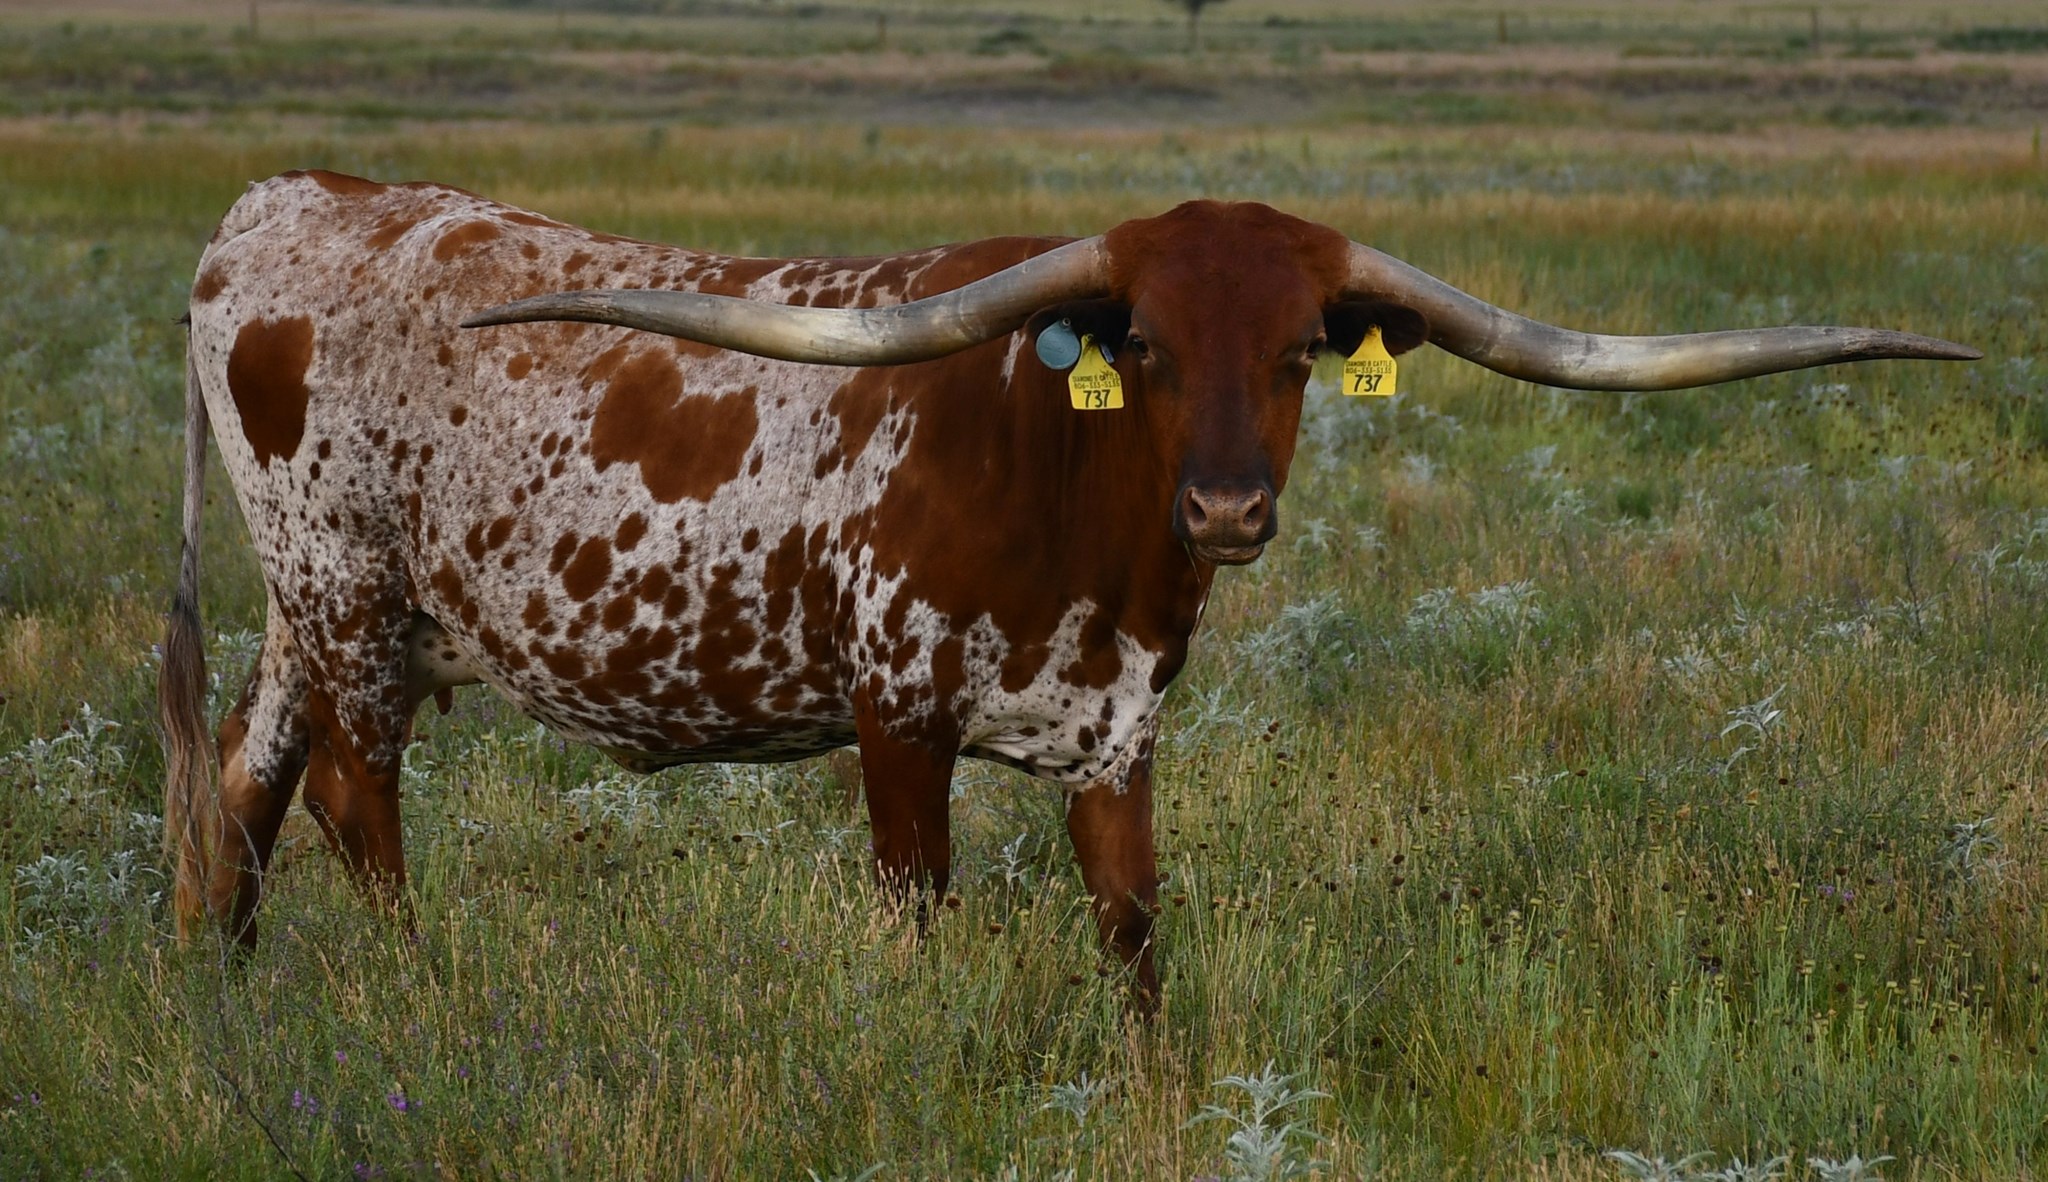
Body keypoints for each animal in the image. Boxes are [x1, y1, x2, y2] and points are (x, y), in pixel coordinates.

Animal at [161, 169, 1975, 1006]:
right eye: (1145, 343)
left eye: (1303, 349)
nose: (1230, 506)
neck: (1076, 518)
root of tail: (281, 203)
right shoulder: (895, 722)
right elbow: (914, 912)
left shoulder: (1117, 739)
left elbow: (1132, 934)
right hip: (347, 590)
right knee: (354, 795)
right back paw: (418, 996)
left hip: (320, 611)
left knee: (246, 777)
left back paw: (224, 988)